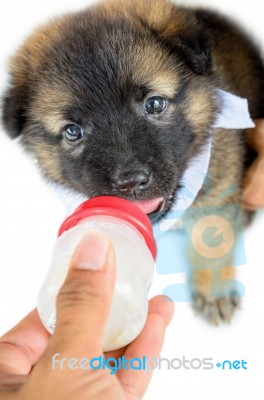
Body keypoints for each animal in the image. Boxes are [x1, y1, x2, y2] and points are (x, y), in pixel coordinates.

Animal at [2, 0, 264, 324]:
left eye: (154, 103)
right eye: (73, 132)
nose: (131, 183)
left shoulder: (218, 181)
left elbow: (211, 238)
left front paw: (214, 290)